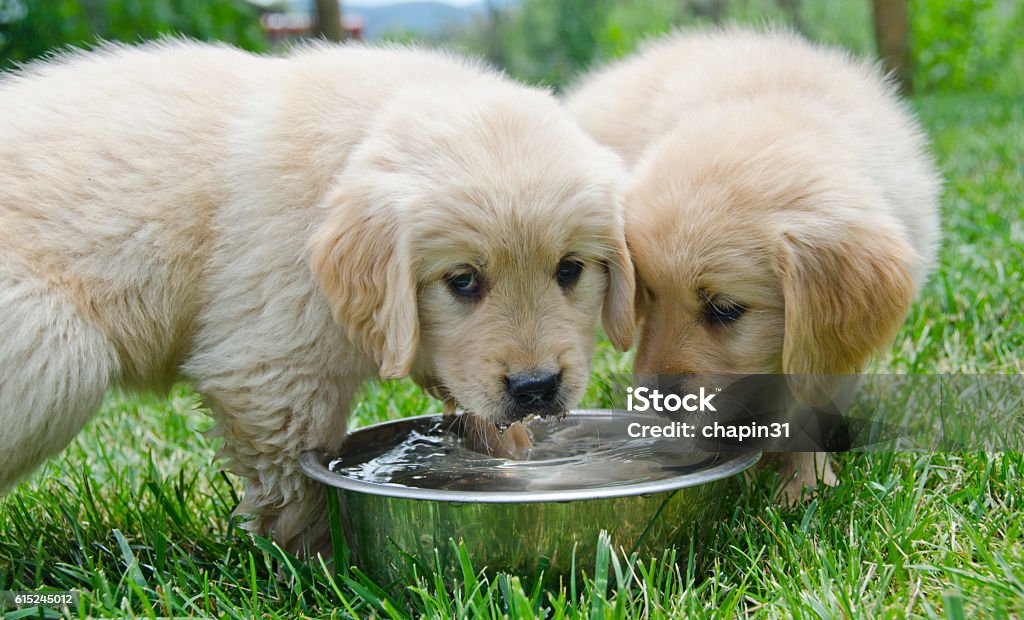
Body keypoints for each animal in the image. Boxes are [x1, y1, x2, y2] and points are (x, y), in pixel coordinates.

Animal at [0, 39, 630, 549]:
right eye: (463, 281)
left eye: (570, 269)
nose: (536, 388)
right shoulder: (272, 371)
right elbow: (297, 482)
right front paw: (321, 561)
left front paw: (513, 455)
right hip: (55, 348)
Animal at [573, 28, 937, 500]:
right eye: (647, 295)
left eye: (725, 309)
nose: (658, 404)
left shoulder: (824, 351)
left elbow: (807, 399)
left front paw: (803, 484)